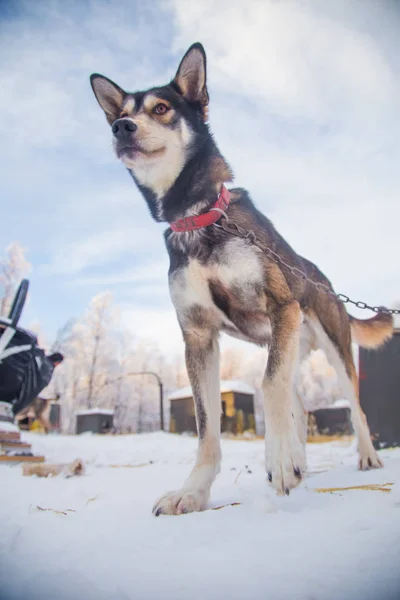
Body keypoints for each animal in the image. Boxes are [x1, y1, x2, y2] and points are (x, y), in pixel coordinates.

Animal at [89, 43, 392, 516]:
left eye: (161, 108)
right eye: (120, 113)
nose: (122, 127)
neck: (199, 218)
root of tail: (322, 276)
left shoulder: (280, 305)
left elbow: (268, 386)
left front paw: (279, 460)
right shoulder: (198, 336)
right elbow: (207, 426)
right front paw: (194, 491)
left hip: (330, 346)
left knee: (349, 407)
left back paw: (362, 456)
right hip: (286, 342)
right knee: (296, 402)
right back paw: (300, 459)